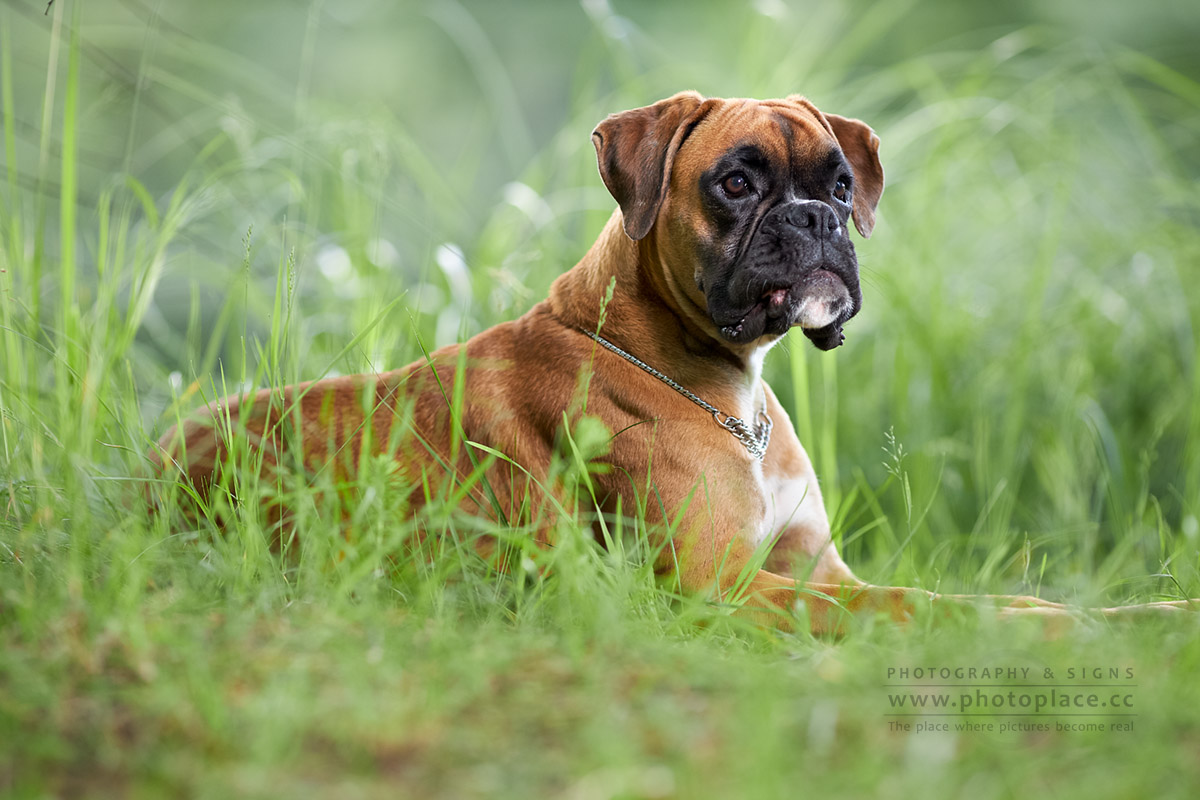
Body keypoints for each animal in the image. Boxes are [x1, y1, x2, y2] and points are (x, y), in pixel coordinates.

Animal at [154, 92, 1195, 633]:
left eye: (840, 184)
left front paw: (1145, 614)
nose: (814, 220)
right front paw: (1053, 631)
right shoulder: (721, 589)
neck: (730, 391)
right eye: (734, 182)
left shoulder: (818, 574)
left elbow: (965, 593)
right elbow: (923, 609)